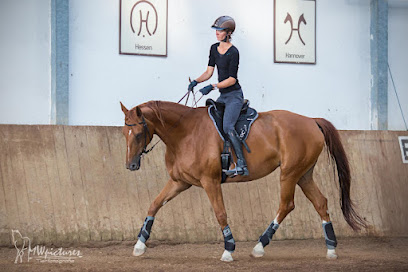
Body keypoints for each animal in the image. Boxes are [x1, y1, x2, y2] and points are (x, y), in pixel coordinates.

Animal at [119, 100, 364, 262]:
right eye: (124, 133)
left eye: (139, 134)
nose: (130, 166)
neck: (186, 133)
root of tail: (311, 121)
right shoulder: (179, 182)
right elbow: (154, 204)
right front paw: (139, 245)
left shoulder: (210, 181)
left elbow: (220, 213)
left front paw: (229, 249)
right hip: (304, 174)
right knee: (320, 202)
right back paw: (331, 249)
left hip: (289, 173)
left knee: (286, 205)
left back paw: (259, 246)